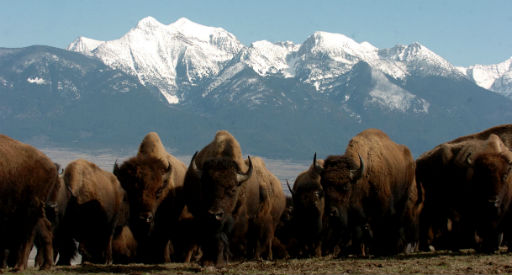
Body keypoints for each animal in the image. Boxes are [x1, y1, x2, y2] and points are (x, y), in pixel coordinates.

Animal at [0, 135, 60, 272]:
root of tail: (52, 166)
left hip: (30, 208)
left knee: (27, 235)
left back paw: (19, 267)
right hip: (35, 210)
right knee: (46, 228)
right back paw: (45, 266)